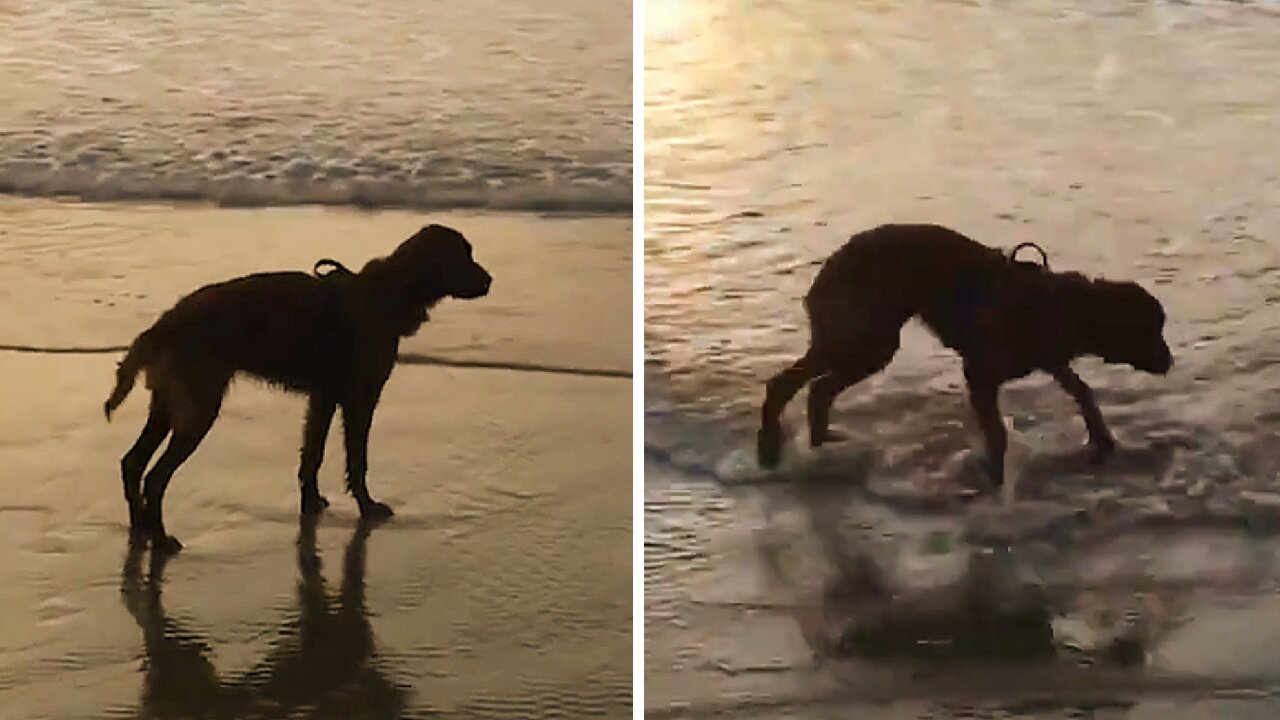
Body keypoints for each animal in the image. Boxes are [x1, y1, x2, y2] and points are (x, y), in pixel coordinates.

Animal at [104, 224, 491, 548]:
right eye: (464, 255)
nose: (489, 280)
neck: (387, 292)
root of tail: (164, 324)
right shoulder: (359, 399)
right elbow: (357, 460)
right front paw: (366, 506)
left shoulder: (323, 398)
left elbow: (312, 455)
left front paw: (312, 500)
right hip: (199, 409)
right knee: (155, 476)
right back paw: (161, 538)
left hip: (168, 405)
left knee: (132, 462)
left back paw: (141, 526)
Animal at [752, 221, 1172, 484]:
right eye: (1150, 330)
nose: (1169, 361)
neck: (1061, 306)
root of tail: (830, 265)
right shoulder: (980, 373)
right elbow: (997, 434)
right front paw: (994, 476)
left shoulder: (1052, 360)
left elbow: (1083, 392)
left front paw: (1103, 439)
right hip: (861, 338)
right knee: (784, 384)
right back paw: (770, 449)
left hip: (870, 345)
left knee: (819, 389)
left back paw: (822, 444)